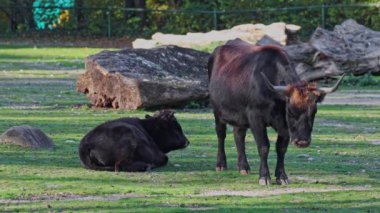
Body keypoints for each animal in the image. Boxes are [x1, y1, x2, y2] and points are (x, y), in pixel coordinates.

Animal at [208, 38, 344, 185]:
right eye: (290, 111)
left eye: (313, 112)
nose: (302, 142)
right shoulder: (256, 118)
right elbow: (263, 146)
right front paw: (264, 176)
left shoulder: (284, 126)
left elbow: (281, 148)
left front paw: (281, 176)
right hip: (217, 111)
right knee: (221, 134)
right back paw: (221, 164)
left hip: (239, 115)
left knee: (239, 135)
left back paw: (243, 167)